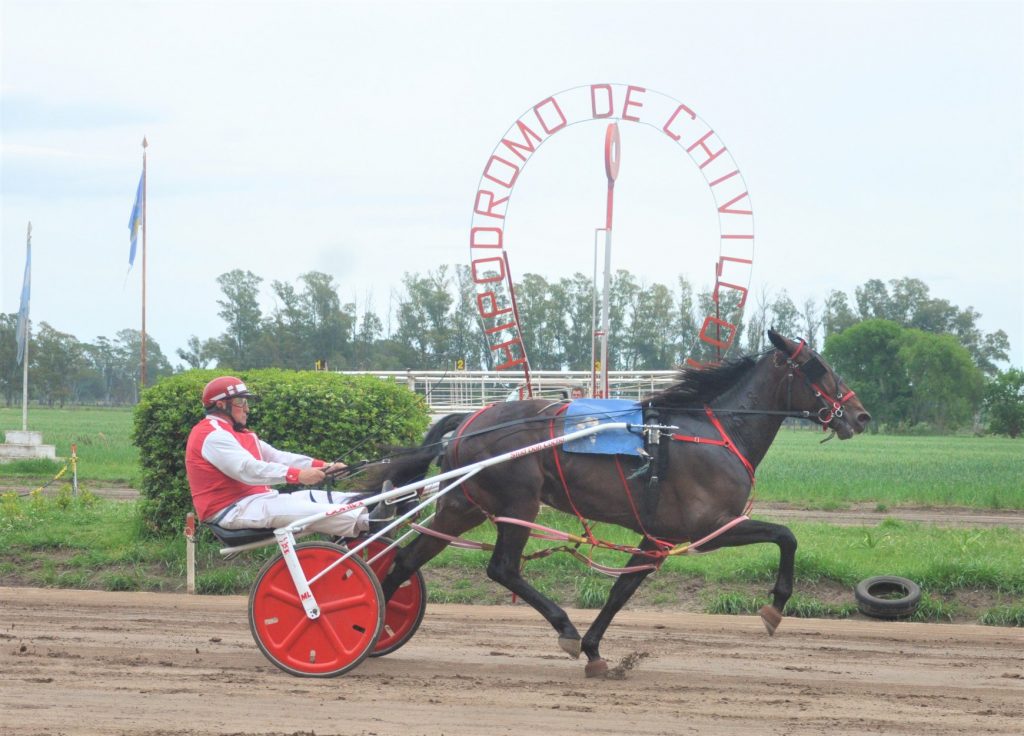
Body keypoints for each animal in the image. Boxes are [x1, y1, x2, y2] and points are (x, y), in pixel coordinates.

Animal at [369, 330, 871, 677]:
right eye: (819, 368)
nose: (861, 415)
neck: (714, 433)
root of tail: (469, 420)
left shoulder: (657, 536)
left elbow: (621, 591)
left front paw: (595, 651)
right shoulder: (711, 526)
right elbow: (787, 535)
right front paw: (775, 608)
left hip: (462, 505)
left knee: (406, 560)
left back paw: (374, 629)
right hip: (518, 503)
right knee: (502, 568)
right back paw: (564, 629)